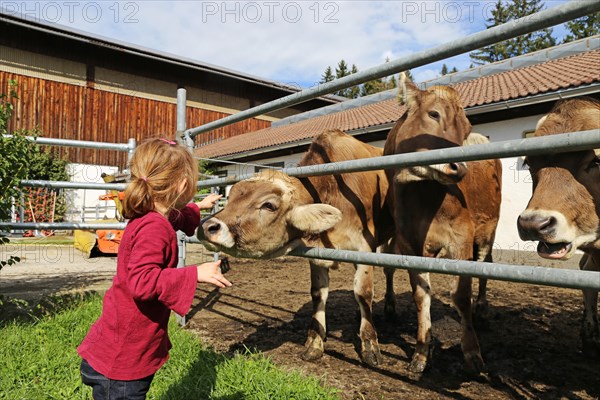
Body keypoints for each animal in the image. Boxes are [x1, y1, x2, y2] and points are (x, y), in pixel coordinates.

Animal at [197, 130, 394, 366]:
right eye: (231, 197)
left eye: (269, 205)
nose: (207, 227)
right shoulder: (317, 254)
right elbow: (318, 294)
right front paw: (314, 343)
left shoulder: (365, 247)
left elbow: (363, 293)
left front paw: (370, 345)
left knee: (389, 270)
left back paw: (390, 307)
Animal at [382, 72, 504, 376]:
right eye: (433, 113)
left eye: (466, 128)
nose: (459, 168)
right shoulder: (408, 243)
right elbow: (421, 294)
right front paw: (421, 352)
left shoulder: (462, 236)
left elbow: (461, 295)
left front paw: (472, 352)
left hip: (489, 229)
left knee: (485, 264)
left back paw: (482, 308)